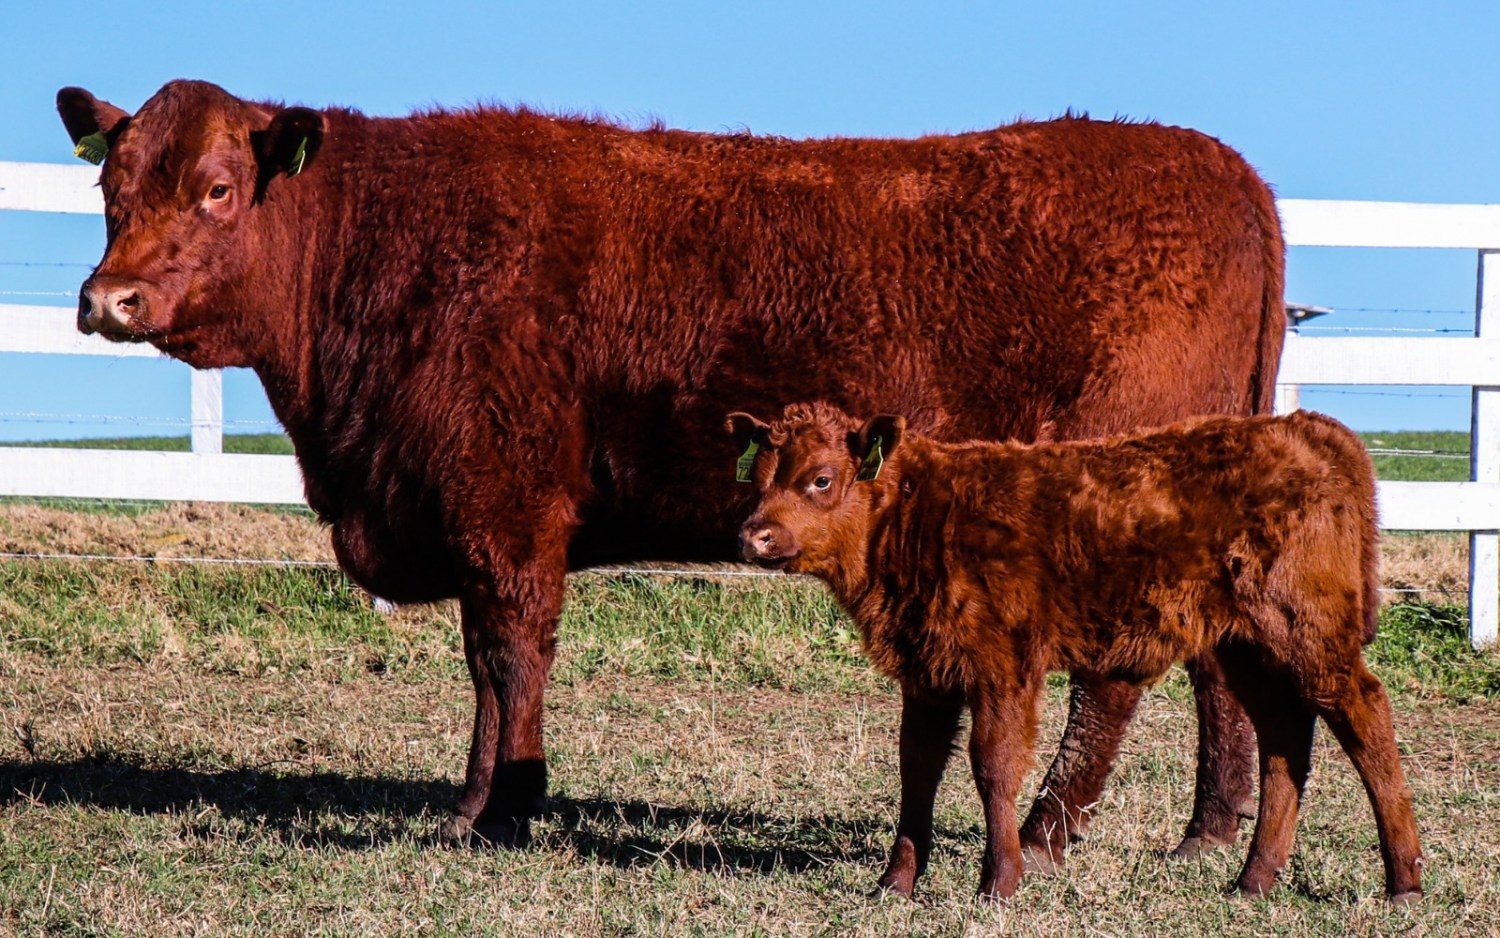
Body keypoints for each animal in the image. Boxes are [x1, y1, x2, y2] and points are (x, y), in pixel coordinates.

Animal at [52, 80, 1284, 864]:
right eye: (113, 183)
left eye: (217, 187)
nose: (109, 297)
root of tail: (1221, 168)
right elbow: (487, 668)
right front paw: (479, 805)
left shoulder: (505, 512)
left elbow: (509, 657)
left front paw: (503, 809)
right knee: (1220, 669)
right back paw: (1203, 834)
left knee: (1117, 681)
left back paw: (1045, 832)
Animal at [732, 402, 1422, 900]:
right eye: (758, 480)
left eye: (821, 479)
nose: (753, 535)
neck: (922, 510)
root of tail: (1307, 429)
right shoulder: (927, 673)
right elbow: (917, 768)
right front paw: (894, 885)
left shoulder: (1002, 667)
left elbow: (994, 766)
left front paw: (999, 883)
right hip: (1247, 648)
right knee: (1285, 738)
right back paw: (1252, 882)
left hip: (1310, 633)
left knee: (1365, 716)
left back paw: (1403, 881)